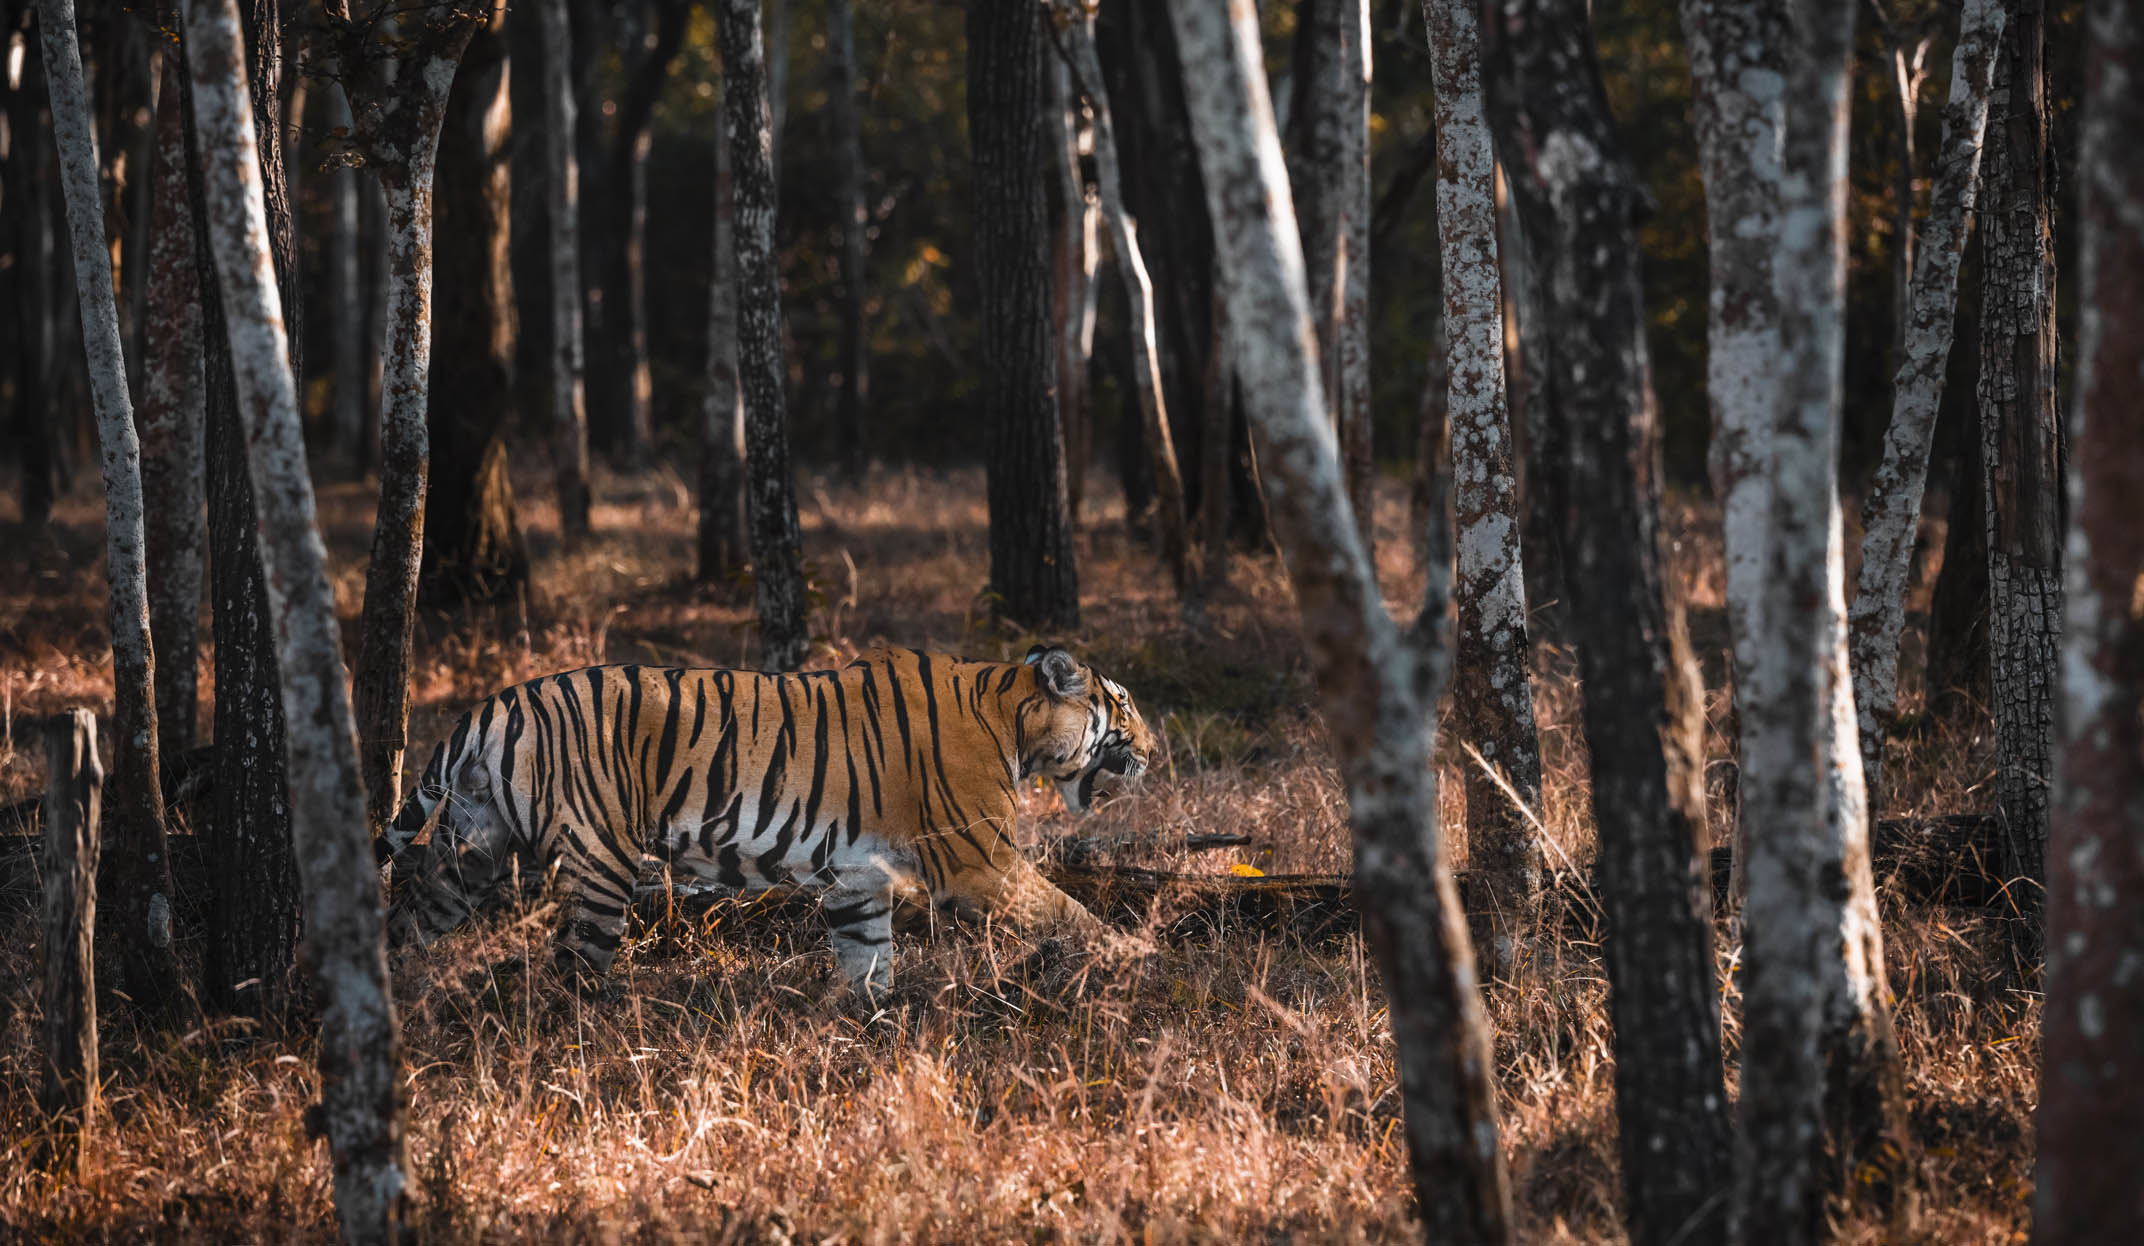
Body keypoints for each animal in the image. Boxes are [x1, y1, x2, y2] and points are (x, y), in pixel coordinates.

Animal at [379, 645, 1156, 996]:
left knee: (408, 917)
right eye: (1124, 705)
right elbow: (1069, 910)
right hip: (600, 861)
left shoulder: (858, 879)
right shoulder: (979, 863)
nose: (1154, 750)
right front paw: (1136, 956)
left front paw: (868, 1033)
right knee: (574, 968)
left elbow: (867, 958)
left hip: (470, 854)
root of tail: (488, 708)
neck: (1010, 713)